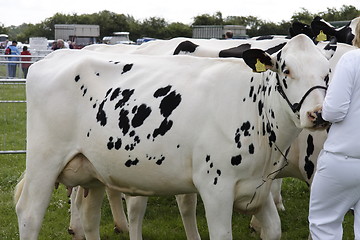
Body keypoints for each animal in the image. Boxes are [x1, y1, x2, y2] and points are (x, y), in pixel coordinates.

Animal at [15, 34, 334, 240]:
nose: (318, 113)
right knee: (29, 213)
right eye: (286, 70)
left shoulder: (260, 189)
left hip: (92, 170)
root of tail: (59, 54)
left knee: (90, 216)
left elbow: (274, 230)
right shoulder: (216, 188)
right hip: (44, 161)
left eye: (328, 73)